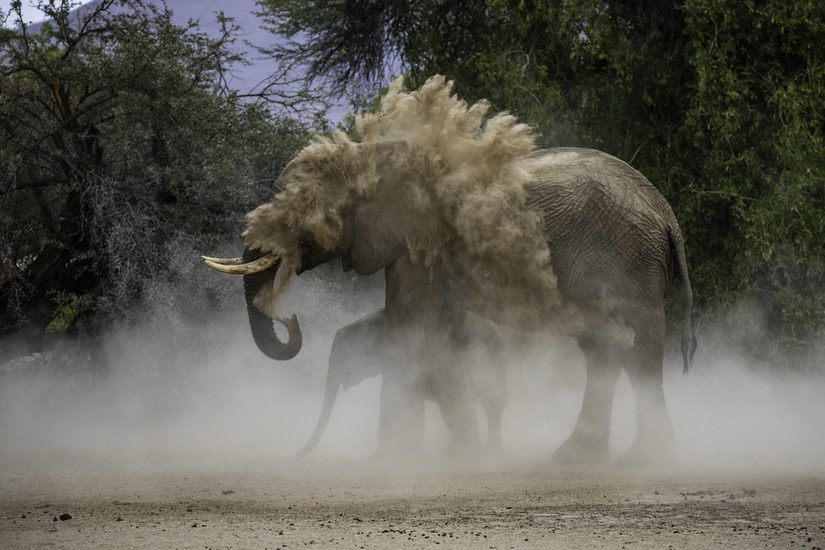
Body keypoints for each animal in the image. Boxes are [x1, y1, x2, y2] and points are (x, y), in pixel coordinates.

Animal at [203, 75, 692, 466]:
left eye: (302, 211)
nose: (290, 317)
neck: (372, 157)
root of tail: (667, 214)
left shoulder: (420, 245)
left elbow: (409, 330)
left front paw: (395, 460)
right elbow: (435, 339)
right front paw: (456, 454)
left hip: (628, 258)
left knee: (637, 350)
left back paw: (645, 460)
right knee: (602, 351)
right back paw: (576, 458)